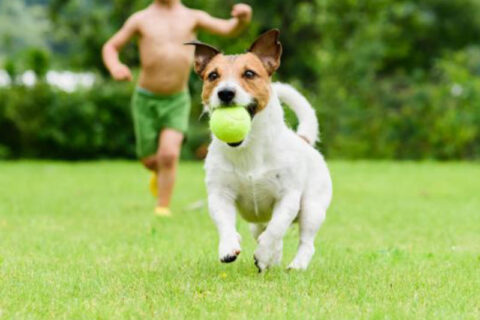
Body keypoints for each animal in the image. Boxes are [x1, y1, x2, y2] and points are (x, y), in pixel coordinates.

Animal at [186, 28, 332, 272]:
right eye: (213, 76)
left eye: (249, 73)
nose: (225, 92)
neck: (248, 149)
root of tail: (303, 139)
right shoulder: (219, 194)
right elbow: (225, 223)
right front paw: (229, 247)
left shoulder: (288, 197)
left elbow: (276, 229)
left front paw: (263, 254)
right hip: (259, 221)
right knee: (265, 232)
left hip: (312, 207)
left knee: (304, 241)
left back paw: (295, 265)